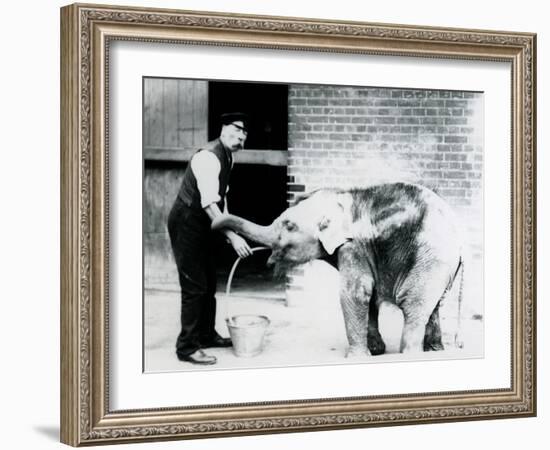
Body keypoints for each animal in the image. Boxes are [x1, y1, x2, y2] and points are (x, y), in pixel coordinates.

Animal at [213, 182, 464, 356]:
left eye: (289, 226)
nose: (245, 251)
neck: (341, 197)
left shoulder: (353, 247)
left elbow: (355, 293)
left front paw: (357, 358)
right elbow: (370, 295)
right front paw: (376, 351)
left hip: (430, 260)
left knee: (413, 305)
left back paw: (410, 354)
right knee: (434, 305)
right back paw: (434, 351)